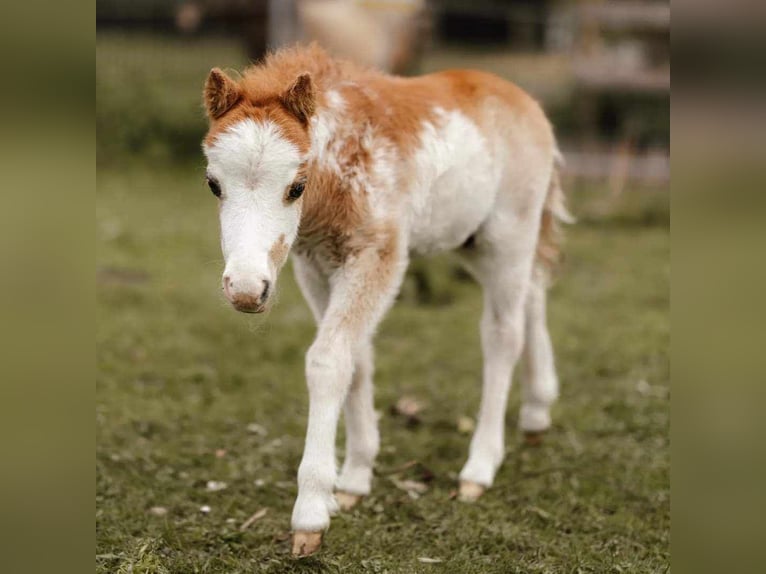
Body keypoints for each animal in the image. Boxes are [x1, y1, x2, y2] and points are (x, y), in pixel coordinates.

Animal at [201, 45, 572, 560]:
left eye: (297, 186)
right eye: (213, 184)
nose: (245, 290)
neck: (345, 161)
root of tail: (525, 101)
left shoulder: (379, 257)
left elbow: (328, 361)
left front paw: (311, 514)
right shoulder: (315, 267)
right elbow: (357, 360)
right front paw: (354, 480)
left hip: (508, 235)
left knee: (503, 334)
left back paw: (479, 468)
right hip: (474, 241)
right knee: (533, 294)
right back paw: (537, 411)